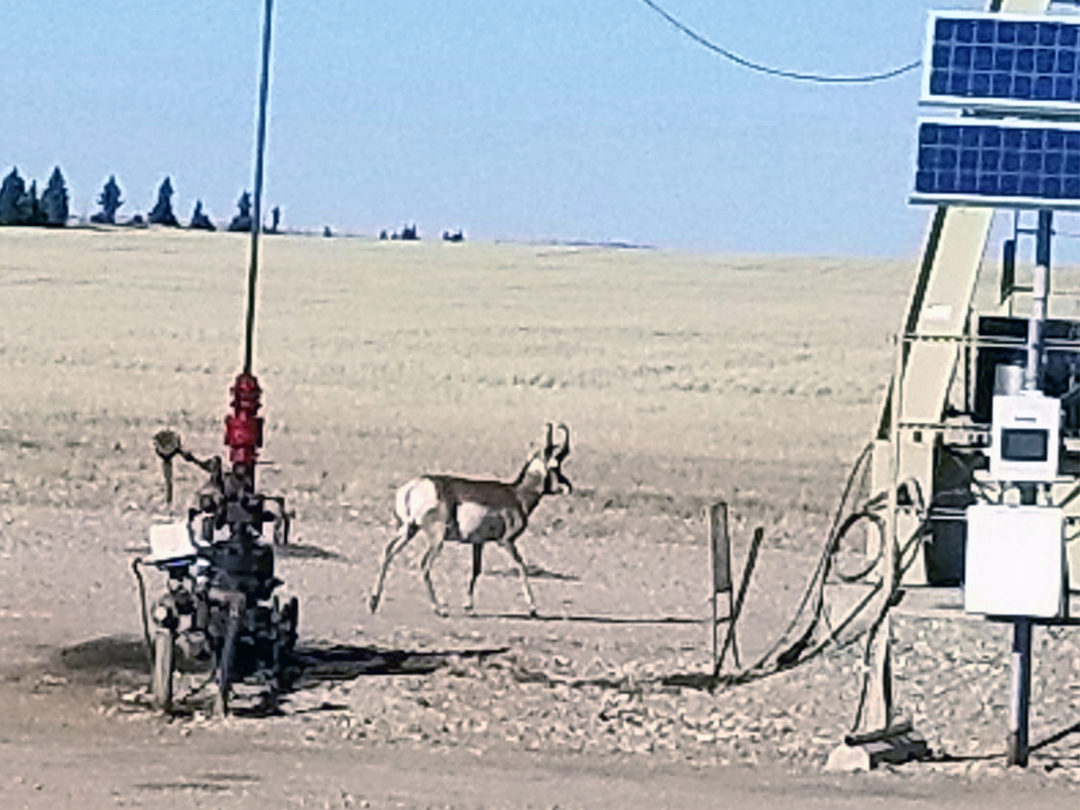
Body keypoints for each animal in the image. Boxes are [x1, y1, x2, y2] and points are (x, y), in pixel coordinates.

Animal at [369, 421, 574, 617]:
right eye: (555, 466)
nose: (568, 487)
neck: (516, 494)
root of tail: (417, 485)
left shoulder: (478, 543)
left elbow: (476, 570)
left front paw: (469, 607)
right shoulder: (507, 542)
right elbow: (521, 566)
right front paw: (532, 608)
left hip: (408, 530)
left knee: (388, 552)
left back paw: (373, 602)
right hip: (436, 539)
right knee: (424, 565)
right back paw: (439, 609)